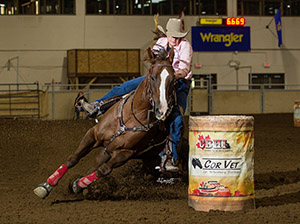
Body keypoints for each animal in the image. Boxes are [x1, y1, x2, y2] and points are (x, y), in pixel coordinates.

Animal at [34, 48, 177, 199]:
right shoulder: (93, 134)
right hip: (107, 148)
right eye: (153, 77)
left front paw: (79, 185)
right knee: (96, 161)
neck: (131, 116)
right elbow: (73, 158)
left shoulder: (125, 153)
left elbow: (103, 170)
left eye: (173, 79)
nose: (162, 109)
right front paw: (46, 186)